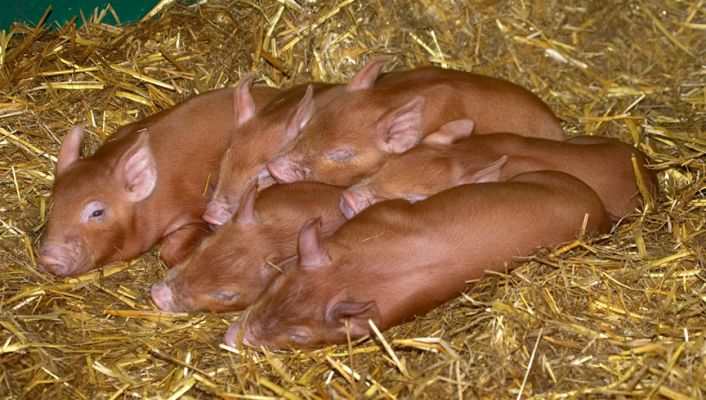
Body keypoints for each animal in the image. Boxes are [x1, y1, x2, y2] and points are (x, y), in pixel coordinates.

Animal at [225, 170, 611, 349]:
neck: (358, 271)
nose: (231, 339)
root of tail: (597, 205)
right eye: (278, 280)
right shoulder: (384, 215)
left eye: (300, 335)